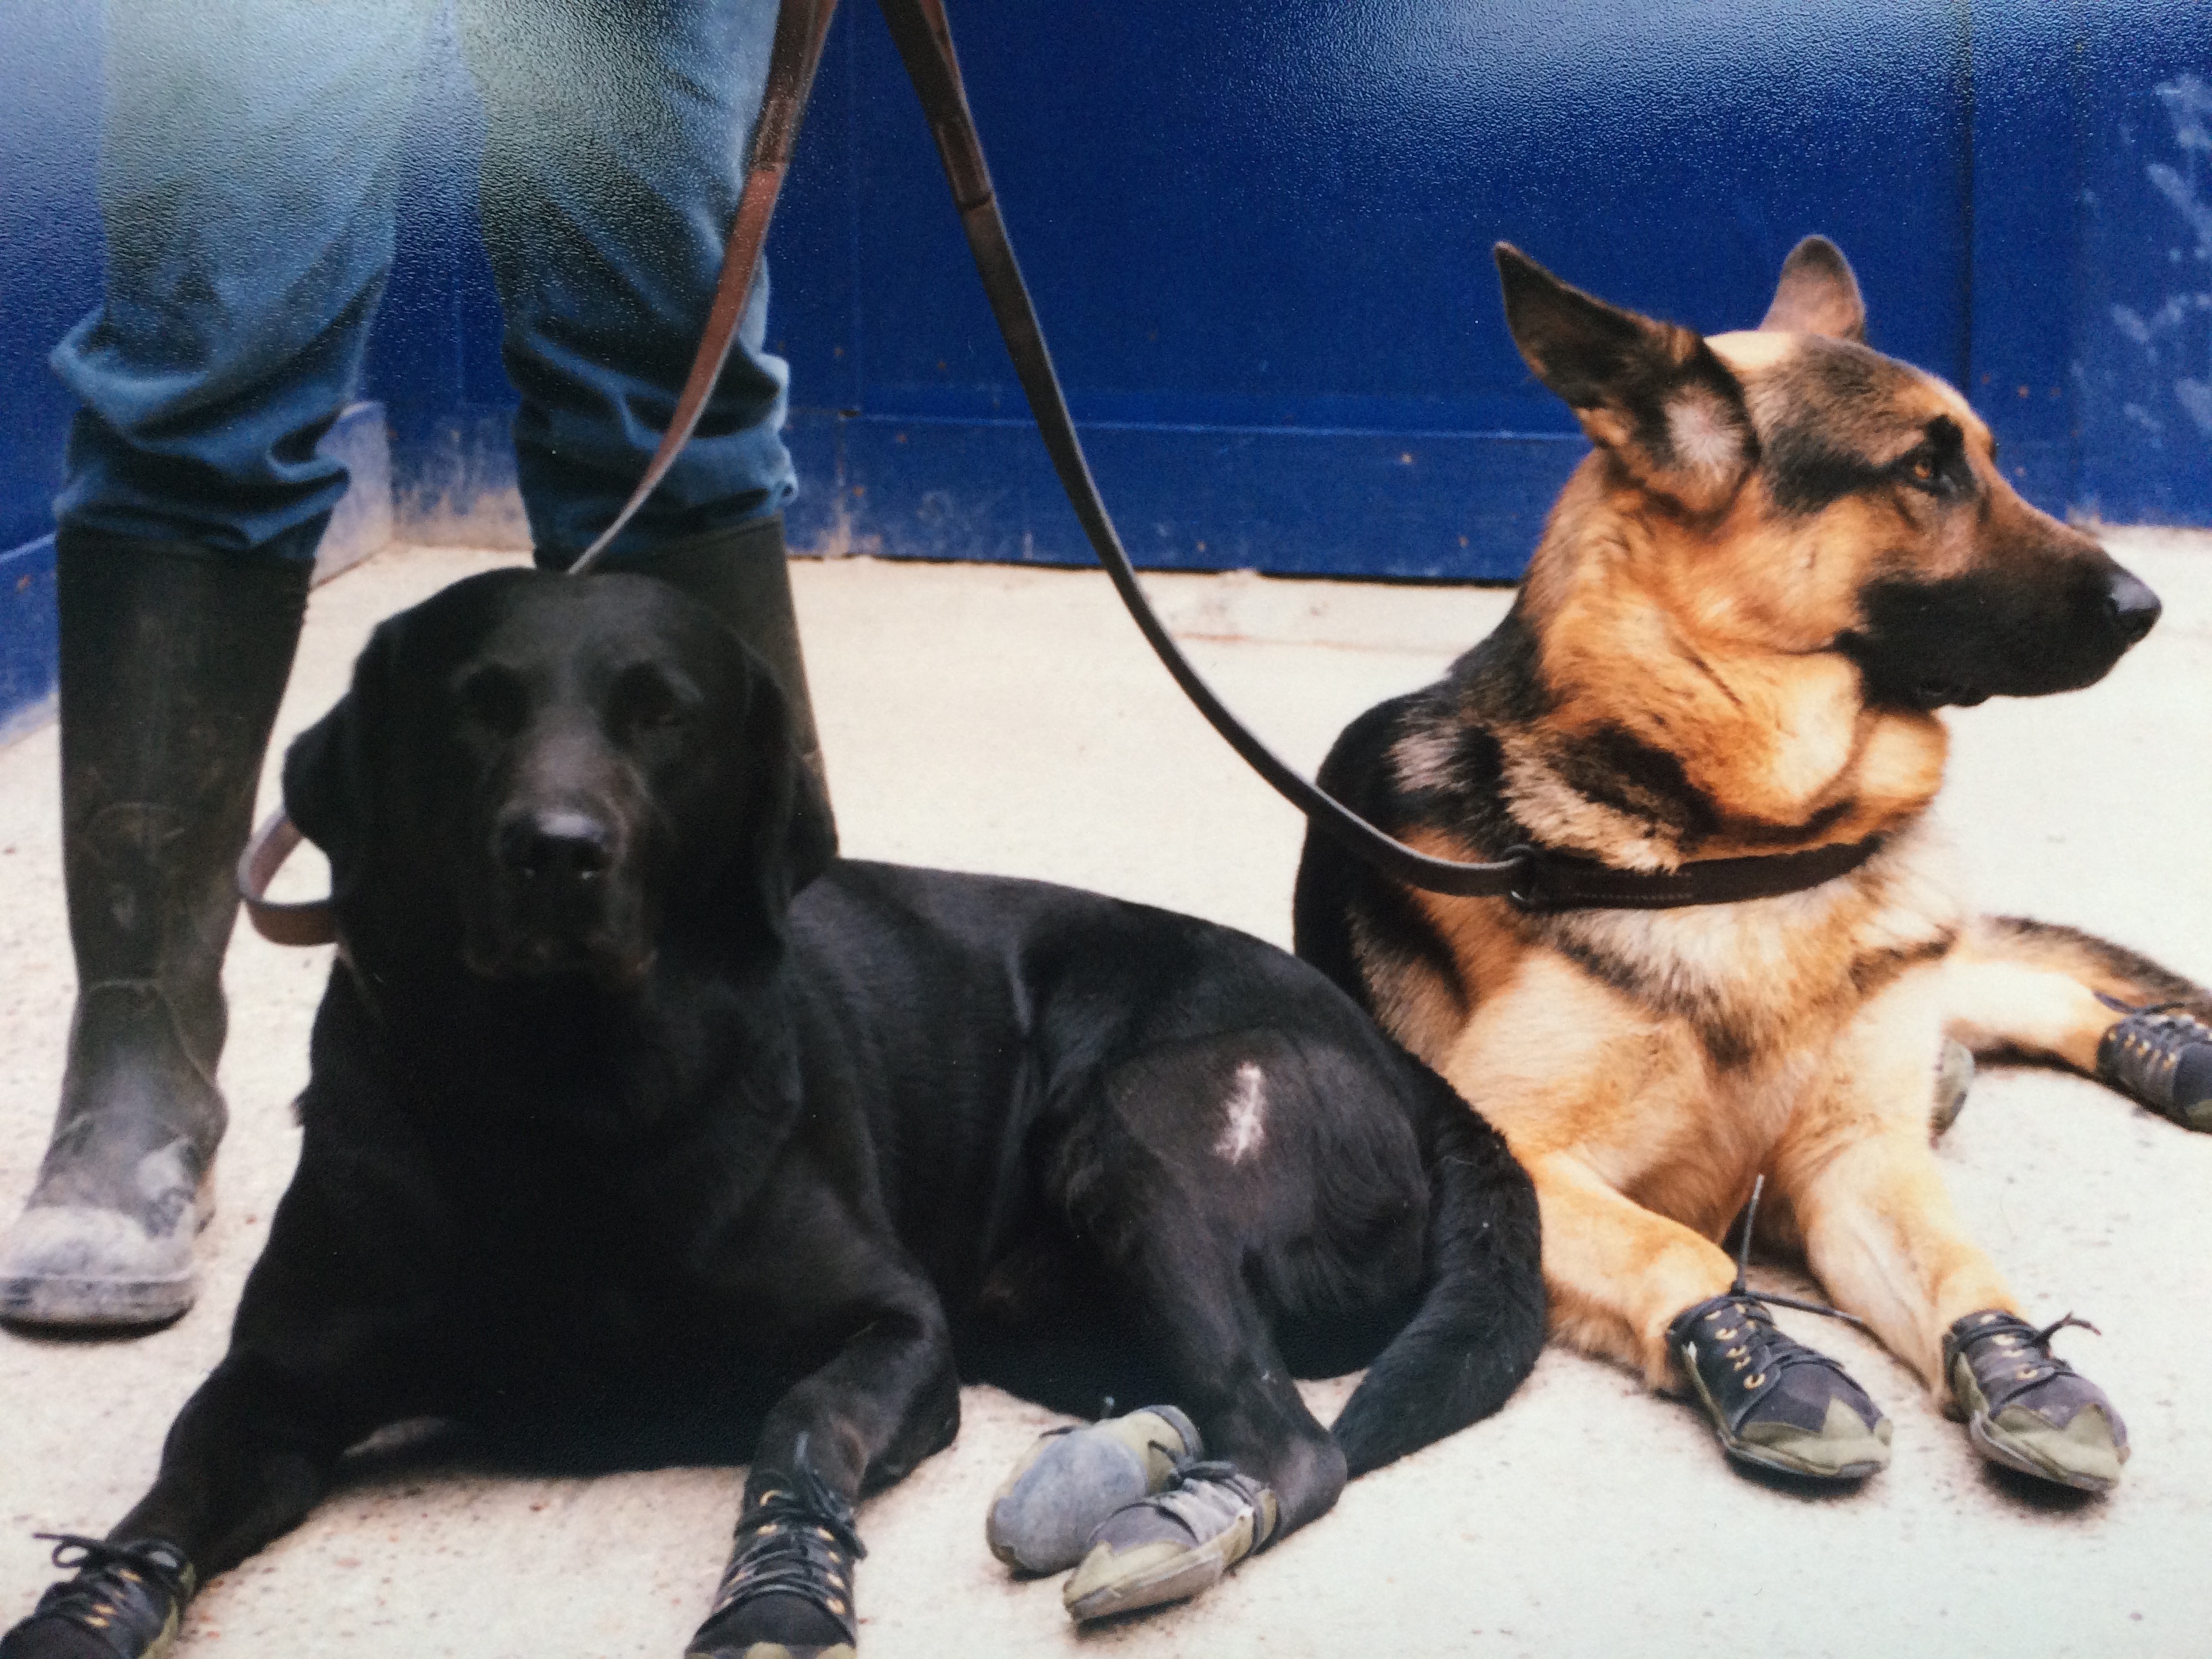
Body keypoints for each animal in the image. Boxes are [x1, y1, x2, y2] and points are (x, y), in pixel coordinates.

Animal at [1, 569, 1542, 1659]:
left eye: (661, 713)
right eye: (474, 704)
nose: (554, 853)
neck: (558, 1099)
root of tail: (1401, 1062)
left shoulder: (893, 1326)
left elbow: (797, 1426)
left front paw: (777, 1599)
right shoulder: (270, 1382)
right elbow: (162, 1505)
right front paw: (81, 1615)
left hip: (1131, 1144)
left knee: (1289, 1436)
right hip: (1037, 1304)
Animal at [1293, 237, 2212, 1493]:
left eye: (1981, 456)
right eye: (1923, 469)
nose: (2148, 605)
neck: (1744, 840)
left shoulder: (1854, 1160)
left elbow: (1957, 1266)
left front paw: (2023, 1365)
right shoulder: (1511, 1157)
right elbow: (1675, 1247)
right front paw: (1767, 1363)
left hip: (1921, 967)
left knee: (2027, 983)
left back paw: (2173, 1053)